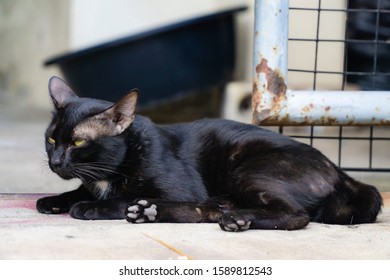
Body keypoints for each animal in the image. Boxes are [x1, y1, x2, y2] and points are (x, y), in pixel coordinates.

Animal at [38, 77, 382, 232]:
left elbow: (120, 197)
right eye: (52, 138)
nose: (55, 161)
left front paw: (90, 207)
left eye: (78, 143)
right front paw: (54, 201)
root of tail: (339, 170)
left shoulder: (178, 188)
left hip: (248, 170)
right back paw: (153, 212)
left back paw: (237, 219)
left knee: (295, 215)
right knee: (210, 209)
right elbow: (76, 191)